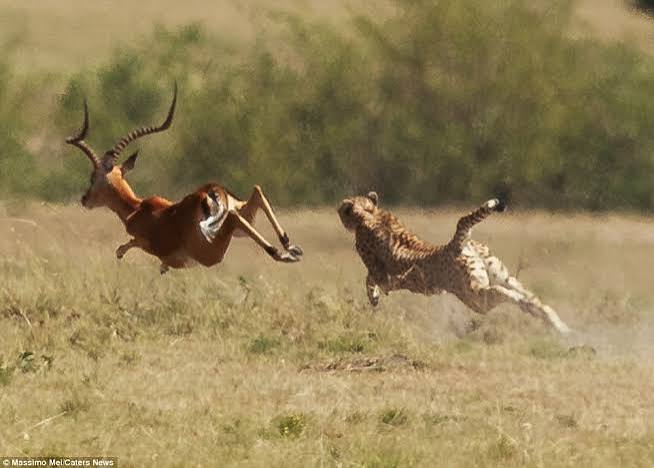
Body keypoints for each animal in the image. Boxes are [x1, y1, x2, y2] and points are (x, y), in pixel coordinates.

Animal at [65, 85, 303, 273]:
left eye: (93, 177)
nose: (85, 199)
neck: (137, 208)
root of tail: (211, 193)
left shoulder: (143, 240)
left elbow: (124, 247)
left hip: (212, 252)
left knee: (236, 215)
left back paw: (281, 253)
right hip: (240, 222)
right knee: (257, 191)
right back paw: (290, 248)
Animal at [337, 191, 571, 334]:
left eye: (342, 209)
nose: (339, 209)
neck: (368, 214)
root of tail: (454, 244)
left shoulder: (380, 274)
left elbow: (369, 280)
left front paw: (374, 297)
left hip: (474, 297)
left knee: (503, 294)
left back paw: (525, 305)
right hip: (504, 277)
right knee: (535, 300)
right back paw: (561, 327)